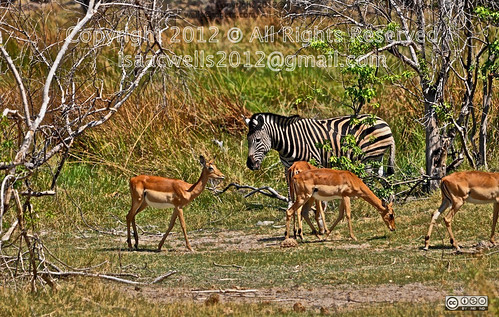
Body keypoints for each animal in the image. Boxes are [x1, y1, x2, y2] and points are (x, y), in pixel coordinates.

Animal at [245, 111, 394, 175]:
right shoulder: (288, 167)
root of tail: (384, 122)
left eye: (258, 140)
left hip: (368, 157)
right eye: (247, 140)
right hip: (377, 157)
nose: (250, 165)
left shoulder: (314, 162)